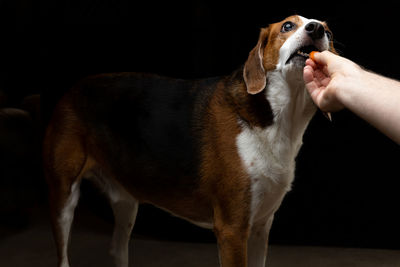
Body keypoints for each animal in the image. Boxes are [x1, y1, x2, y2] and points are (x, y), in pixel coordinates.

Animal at [43, 15, 336, 267]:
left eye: (328, 31)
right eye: (287, 25)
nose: (315, 29)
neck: (279, 119)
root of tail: (72, 90)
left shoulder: (261, 226)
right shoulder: (232, 229)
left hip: (126, 202)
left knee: (117, 249)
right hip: (63, 195)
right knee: (63, 255)